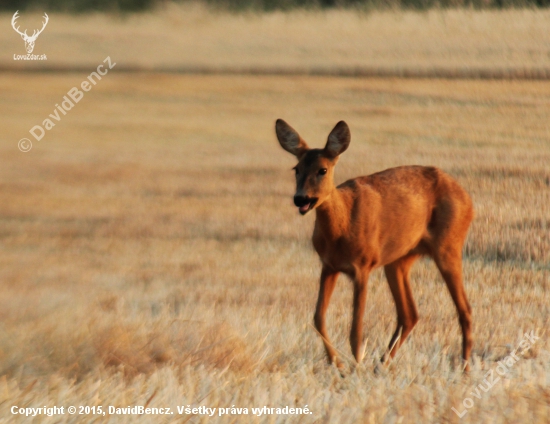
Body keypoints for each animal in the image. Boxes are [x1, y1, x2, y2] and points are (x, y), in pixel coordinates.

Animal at [278, 119, 476, 372]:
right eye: (296, 169)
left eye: (322, 170)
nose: (301, 199)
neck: (341, 226)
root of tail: (468, 199)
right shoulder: (329, 266)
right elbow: (318, 318)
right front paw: (337, 364)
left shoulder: (363, 265)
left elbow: (356, 329)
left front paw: (355, 366)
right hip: (399, 260)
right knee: (410, 314)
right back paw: (382, 364)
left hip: (448, 245)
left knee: (465, 309)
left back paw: (464, 368)